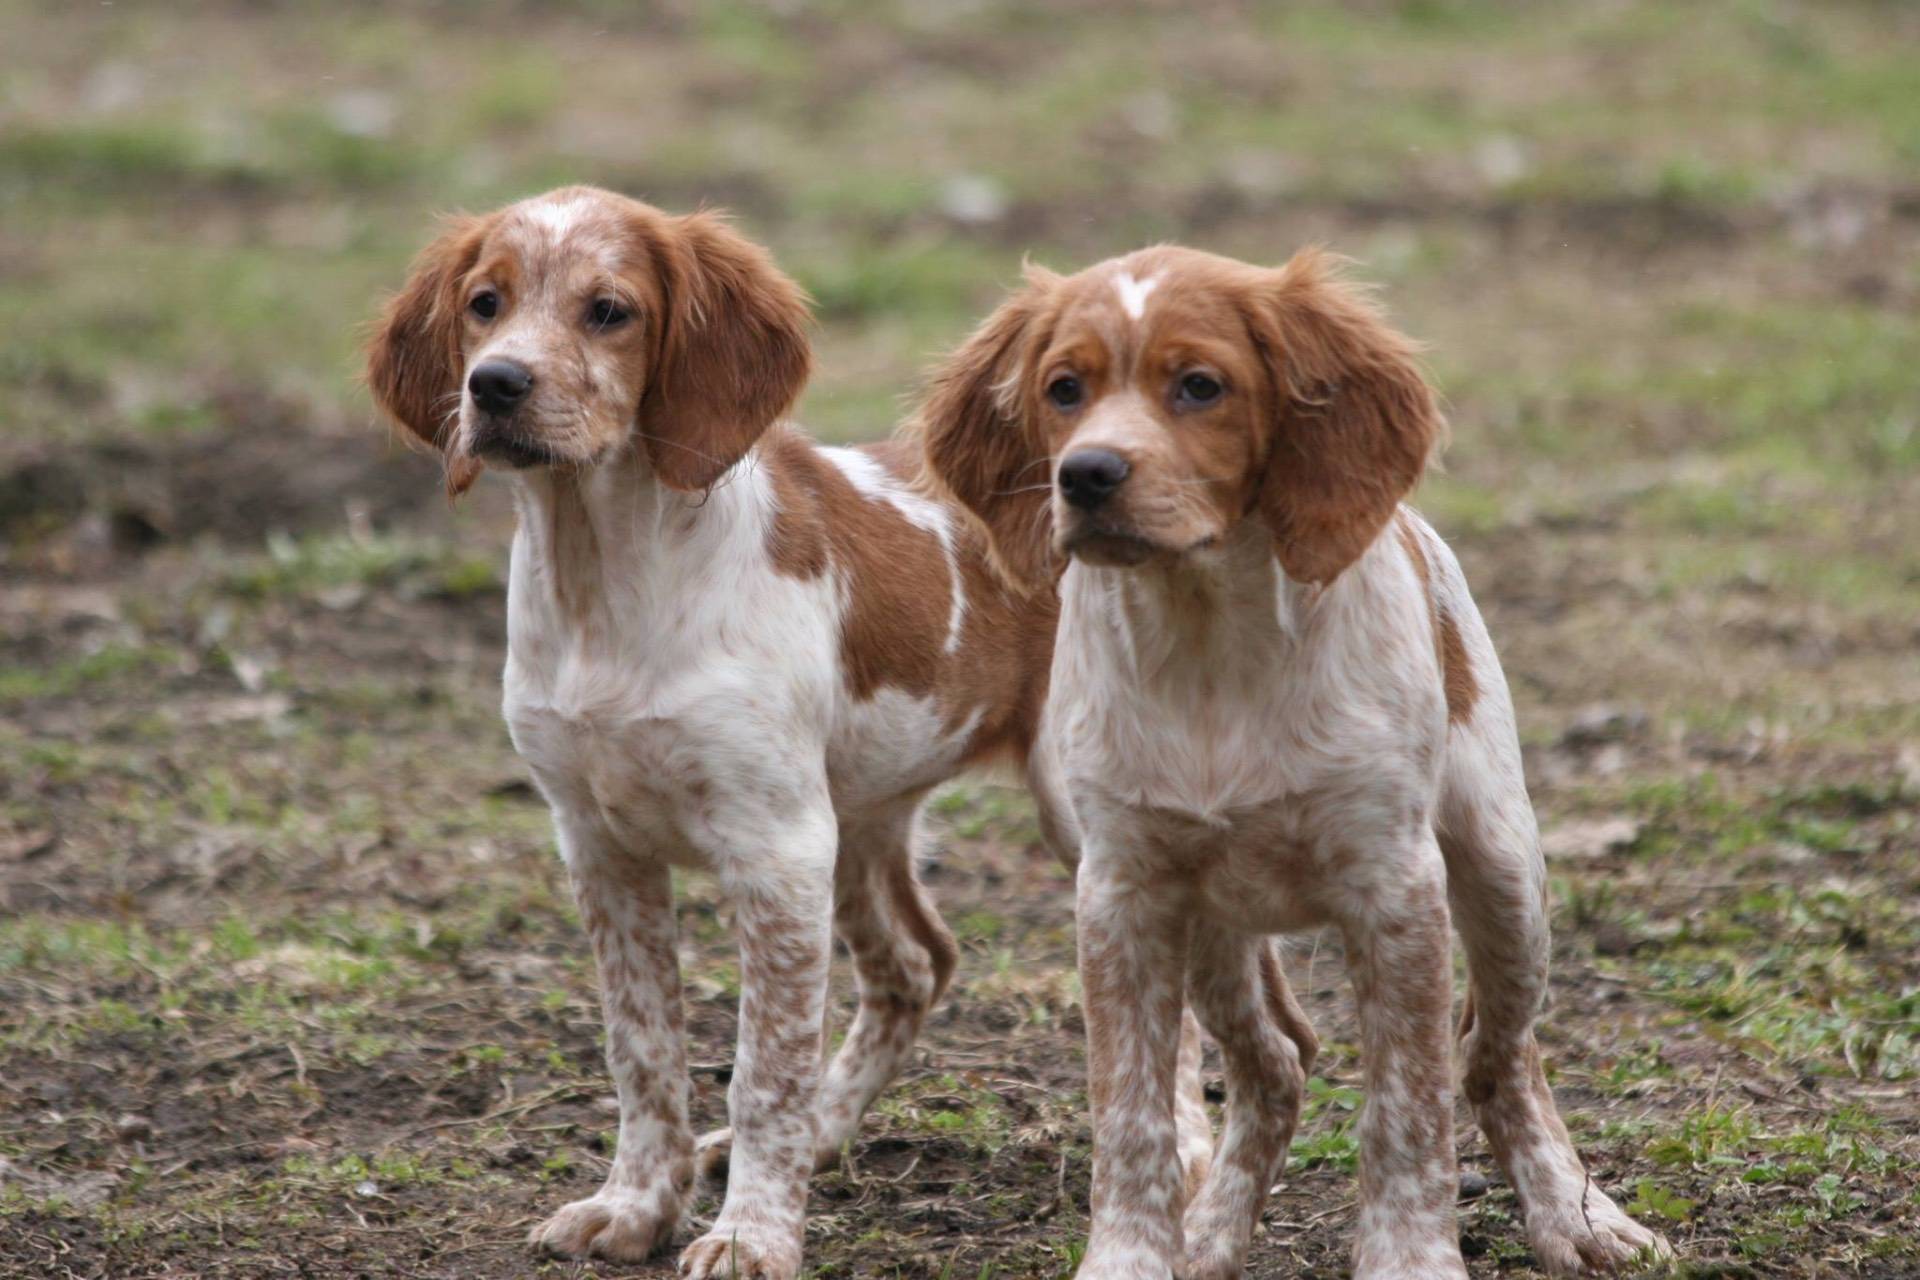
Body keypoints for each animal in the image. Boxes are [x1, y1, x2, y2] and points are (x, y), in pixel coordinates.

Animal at [368, 185, 1090, 1274]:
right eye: (484, 303)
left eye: (609, 311)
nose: (492, 385)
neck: (608, 580)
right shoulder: (600, 847)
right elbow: (643, 1048)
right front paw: (635, 1205)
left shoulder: (774, 849)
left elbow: (762, 1070)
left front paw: (753, 1233)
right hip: (862, 819)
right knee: (916, 964)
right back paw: (829, 1134)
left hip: (1083, 822)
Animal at [917, 247, 1666, 1280]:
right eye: (1063, 389)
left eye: (1200, 386)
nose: (1086, 475)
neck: (1208, 643)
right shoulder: (1121, 892)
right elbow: (1131, 1115)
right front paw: (1135, 1257)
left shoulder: (1395, 887)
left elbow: (1409, 1111)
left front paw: (1411, 1260)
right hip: (1213, 925)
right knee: (1277, 1060)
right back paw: (1209, 1236)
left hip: (1504, 874)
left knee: (1498, 1054)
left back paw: (1575, 1217)